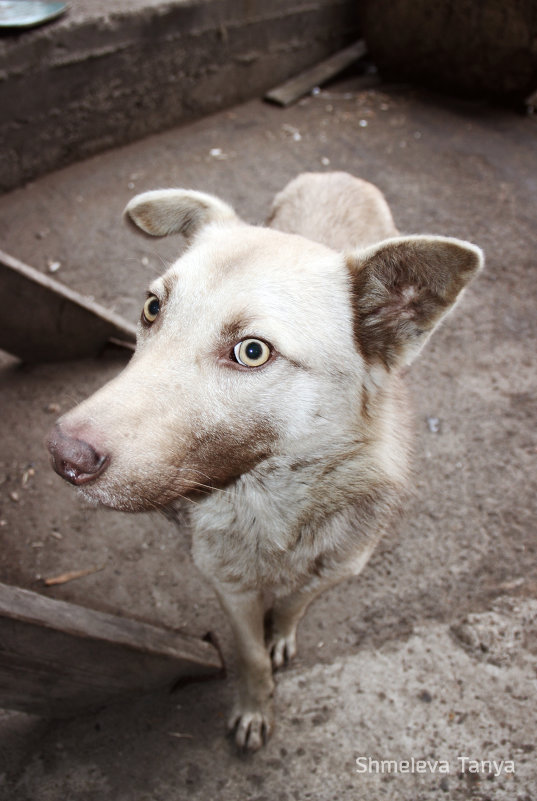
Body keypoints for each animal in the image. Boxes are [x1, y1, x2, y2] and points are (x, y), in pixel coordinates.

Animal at [47, 170, 482, 752]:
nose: (63, 456)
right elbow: (250, 655)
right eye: (153, 308)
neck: (271, 507)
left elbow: (294, 606)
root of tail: (340, 174)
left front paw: (282, 636)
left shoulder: (332, 571)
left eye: (252, 351)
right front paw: (255, 706)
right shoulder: (228, 587)